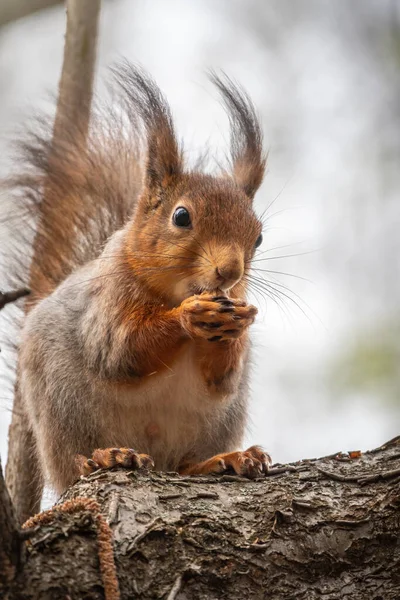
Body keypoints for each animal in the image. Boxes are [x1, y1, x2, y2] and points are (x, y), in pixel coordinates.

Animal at [12, 63, 270, 500]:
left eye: (259, 237)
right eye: (181, 217)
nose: (230, 272)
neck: (174, 292)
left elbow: (222, 379)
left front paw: (236, 324)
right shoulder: (106, 308)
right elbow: (123, 351)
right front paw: (188, 316)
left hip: (220, 421)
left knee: (185, 465)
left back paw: (225, 460)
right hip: (63, 412)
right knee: (72, 464)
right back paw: (104, 457)